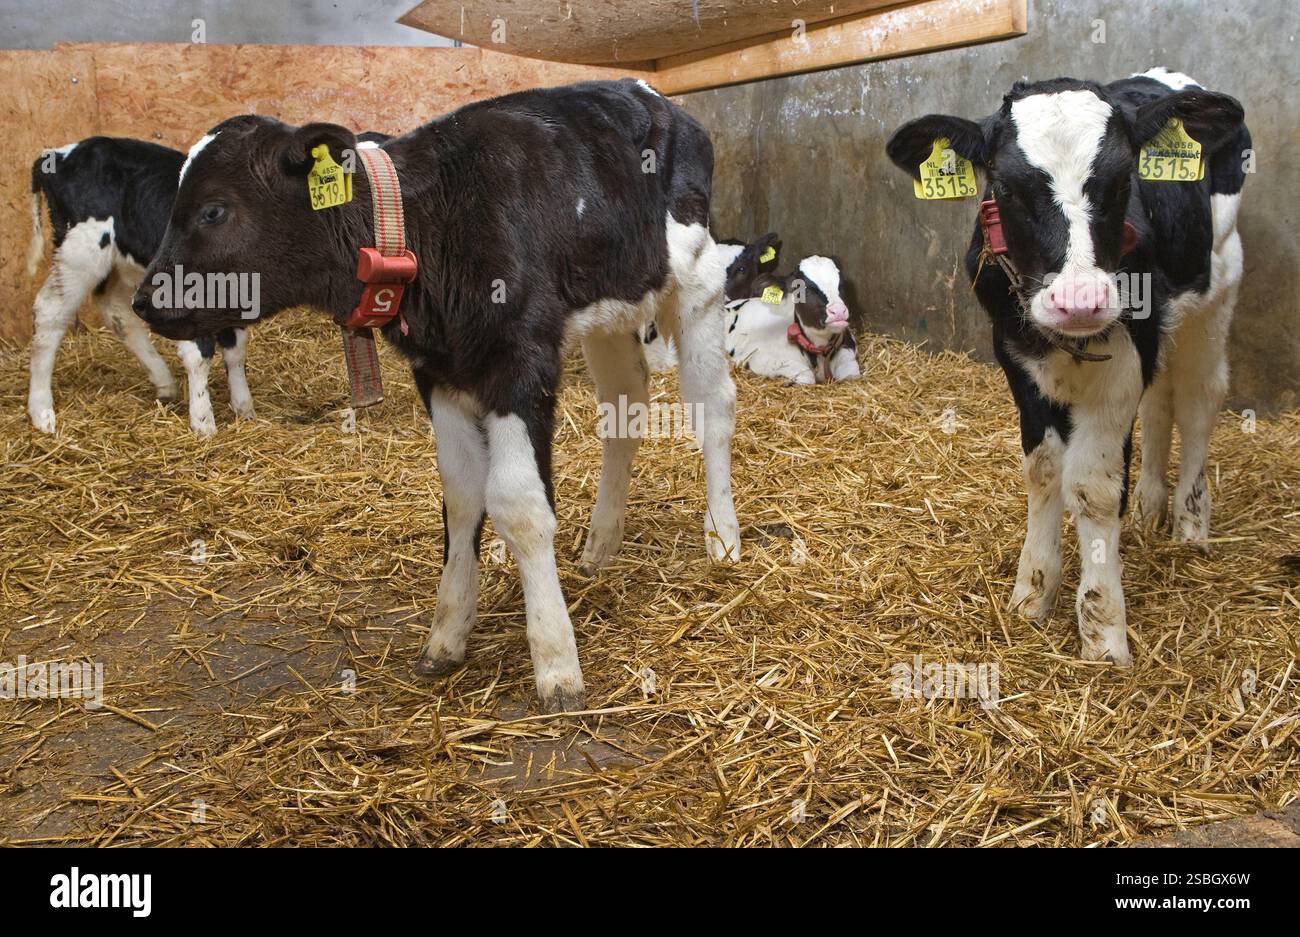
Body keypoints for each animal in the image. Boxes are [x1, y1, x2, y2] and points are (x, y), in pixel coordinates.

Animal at [131, 79, 741, 713]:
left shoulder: (520, 362)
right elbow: (462, 496)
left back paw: (722, 540)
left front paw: (556, 666)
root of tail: (650, 95)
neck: (428, 226)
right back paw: (601, 545)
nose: (144, 301)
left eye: (213, 209)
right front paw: (446, 636)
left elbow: (518, 505)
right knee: (624, 409)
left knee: (713, 408)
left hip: (698, 282)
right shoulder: (440, 373)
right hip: (610, 309)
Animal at [726, 255, 860, 384]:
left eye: (841, 285)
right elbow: (806, 376)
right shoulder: (757, 356)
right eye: (803, 289)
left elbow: (851, 376)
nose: (838, 311)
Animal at [886, 68, 1249, 666]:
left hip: (1217, 289)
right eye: (1005, 187)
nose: (1079, 300)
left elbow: (1093, 488)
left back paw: (1190, 522)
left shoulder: (1126, 354)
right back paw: (1148, 506)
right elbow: (1043, 470)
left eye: (1123, 180)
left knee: (1199, 398)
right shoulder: (1013, 352)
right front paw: (1032, 593)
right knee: (1161, 403)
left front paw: (1103, 631)